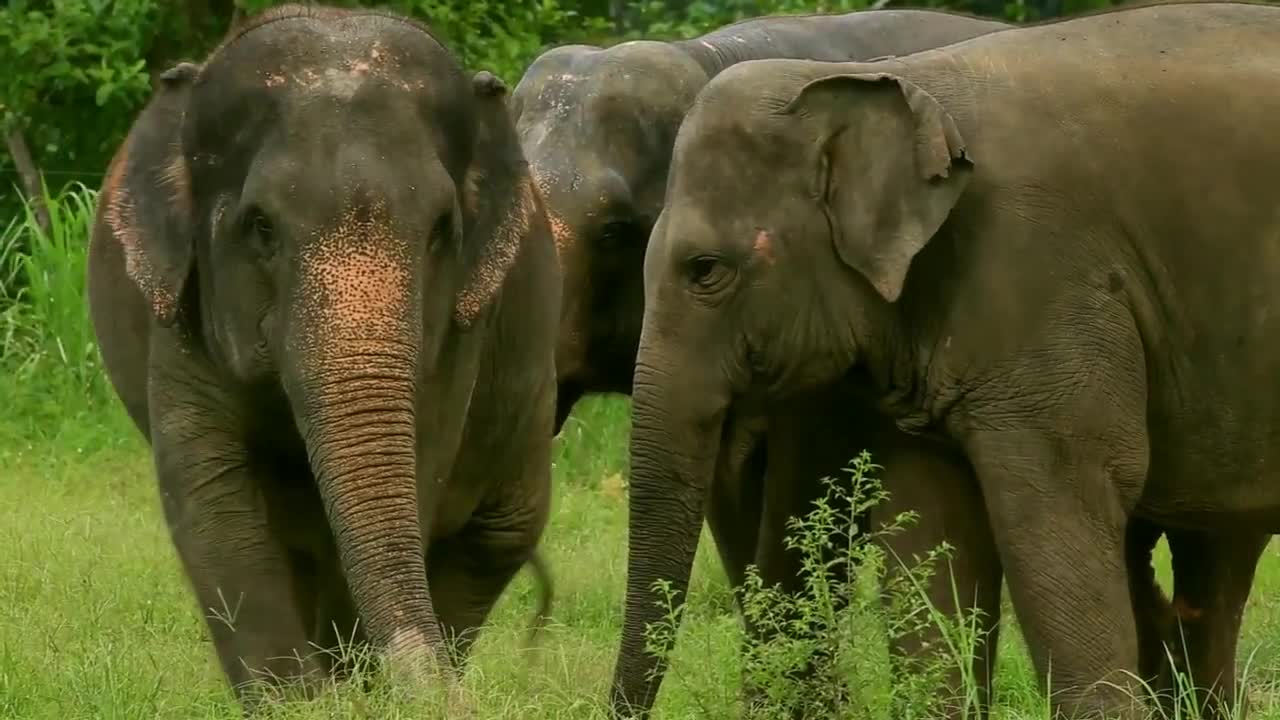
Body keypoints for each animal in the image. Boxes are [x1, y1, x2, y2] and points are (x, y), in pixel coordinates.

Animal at [82, 2, 558, 707]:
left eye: (441, 232)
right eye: (261, 227)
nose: (453, 703)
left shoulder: (463, 329)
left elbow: (420, 469)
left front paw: (351, 693)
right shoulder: (180, 310)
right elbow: (212, 489)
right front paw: (303, 703)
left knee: (495, 540)